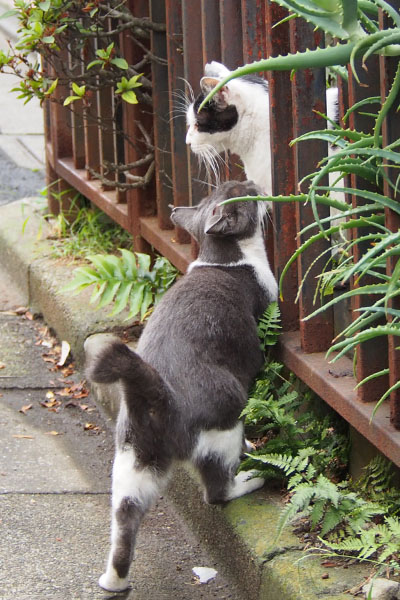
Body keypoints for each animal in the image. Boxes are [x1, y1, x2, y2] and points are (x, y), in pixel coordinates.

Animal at [84, 180, 278, 592]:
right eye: (244, 192)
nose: (254, 182)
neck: (224, 260)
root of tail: (157, 399)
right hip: (225, 415)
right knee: (216, 492)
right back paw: (251, 478)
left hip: (132, 462)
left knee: (125, 516)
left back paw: (114, 580)